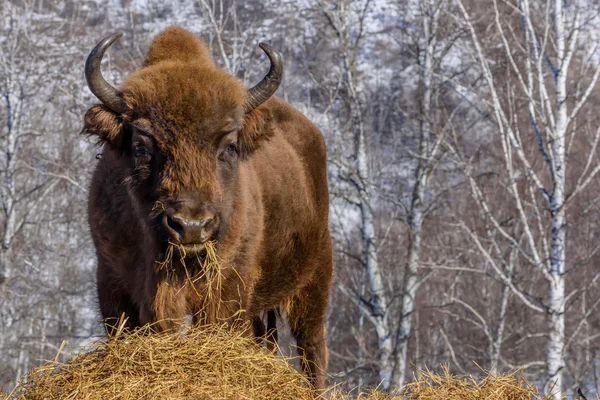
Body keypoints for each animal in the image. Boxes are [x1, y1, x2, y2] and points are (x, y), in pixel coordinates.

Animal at [81, 25, 332, 388]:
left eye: (229, 147)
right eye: (141, 147)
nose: (191, 226)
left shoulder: (227, 288)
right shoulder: (113, 282)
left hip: (314, 279)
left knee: (312, 347)